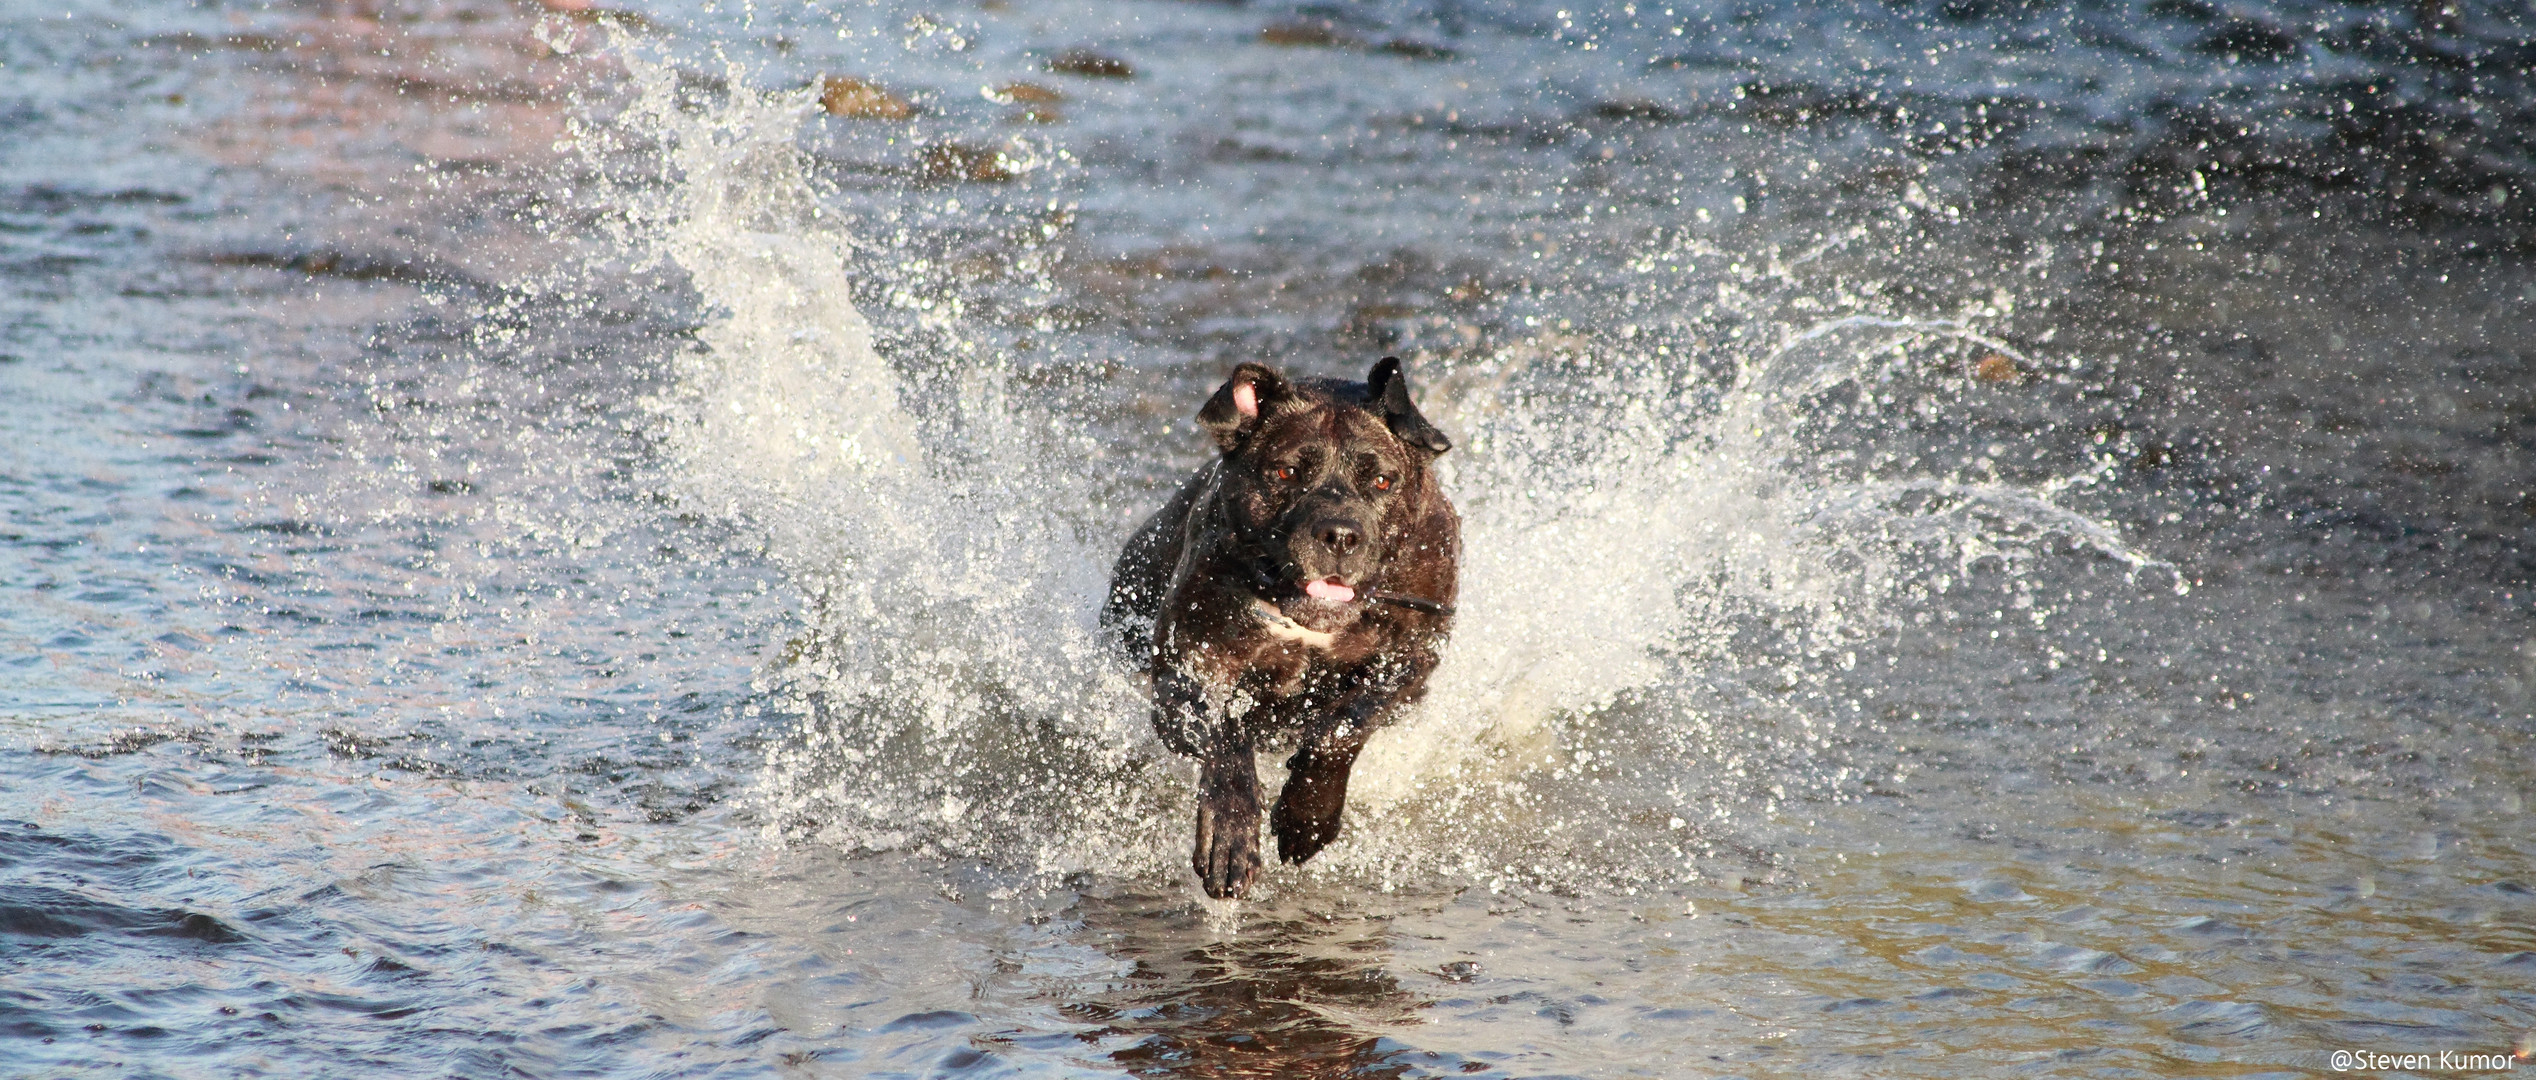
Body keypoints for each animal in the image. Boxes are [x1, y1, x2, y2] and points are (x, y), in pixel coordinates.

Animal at [1100, 357, 1460, 897]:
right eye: (1287, 471)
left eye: (1381, 481)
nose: (1340, 533)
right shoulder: (1184, 670)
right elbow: (1225, 733)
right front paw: (1230, 832)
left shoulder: (1411, 662)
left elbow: (1345, 725)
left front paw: (1307, 816)